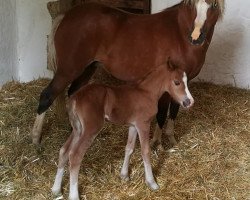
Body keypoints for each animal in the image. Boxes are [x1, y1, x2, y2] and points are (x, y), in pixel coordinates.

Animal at [51, 60, 194, 200]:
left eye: (186, 81)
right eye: (177, 82)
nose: (190, 102)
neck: (147, 92)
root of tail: (74, 98)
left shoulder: (133, 125)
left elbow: (129, 148)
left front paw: (124, 175)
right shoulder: (143, 124)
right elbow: (145, 151)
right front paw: (152, 182)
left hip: (77, 129)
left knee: (64, 150)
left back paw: (56, 190)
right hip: (90, 129)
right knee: (75, 155)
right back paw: (74, 195)